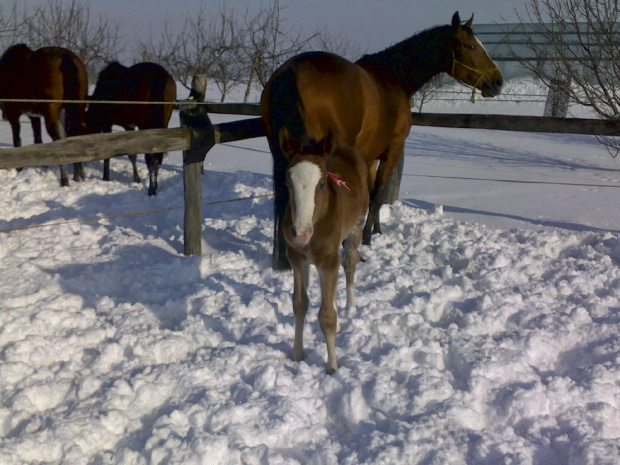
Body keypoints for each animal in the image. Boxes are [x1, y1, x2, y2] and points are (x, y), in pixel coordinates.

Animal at [0, 44, 88, 185]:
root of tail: (65, 57)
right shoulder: (34, 116)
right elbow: (38, 140)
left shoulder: (14, 116)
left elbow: (17, 140)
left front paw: (19, 168)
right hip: (75, 109)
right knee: (75, 135)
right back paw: (78, 176)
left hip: (51, 114)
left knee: (57, 139)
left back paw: (64, 180)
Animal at [86, 60, 177, 196]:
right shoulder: (129, 126)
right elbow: (132, 154)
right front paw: (136, 178)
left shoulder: (108, 124)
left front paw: (106, 177)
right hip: (163, 122)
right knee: (157, 157)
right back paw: (154, 187)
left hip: (146, 124)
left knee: (151, 157)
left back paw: (151, 189)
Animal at [258, 12, 504, 270]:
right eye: (471, 46)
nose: (498, 81)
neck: (393, 78)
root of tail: (292, 71)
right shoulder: (393, 149)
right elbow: (377, 192)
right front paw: (366, 237)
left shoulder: (367, 157)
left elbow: (367, 192)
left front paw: (374, 229)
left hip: (284, 152)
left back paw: (284, 259)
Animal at [280, 127, 368, 374]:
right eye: (288, 183)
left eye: (320, 184)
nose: (301, 233)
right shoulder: (297, 258)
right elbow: (300, 303)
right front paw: (297, 355)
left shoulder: (328, 259)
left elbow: (326, 316)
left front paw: (332, 367)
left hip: (357, 226)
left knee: (349, 261)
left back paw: (350, 306)